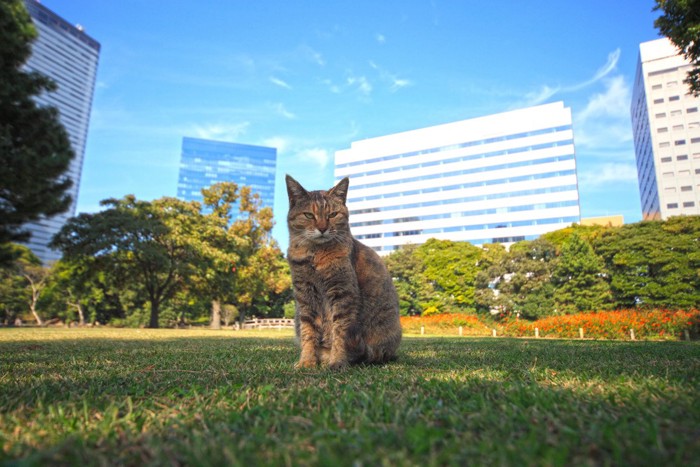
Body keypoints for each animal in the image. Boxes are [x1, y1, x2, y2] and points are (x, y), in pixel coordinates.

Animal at [284, 174, 402, 372]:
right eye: (309, 215)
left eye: (332, 215)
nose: (322, 228)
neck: (315, 255)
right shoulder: (305, 297)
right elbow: (308, 333)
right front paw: (307, 360)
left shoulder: (343, 294)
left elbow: (339, 332)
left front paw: (337, 361)